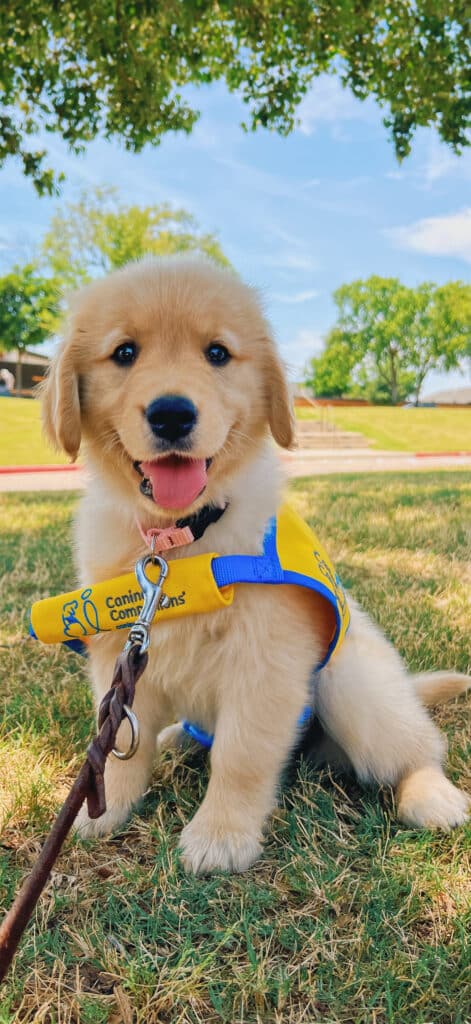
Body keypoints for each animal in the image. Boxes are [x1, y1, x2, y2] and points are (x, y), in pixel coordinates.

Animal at [42, 256, 468, 872]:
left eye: (218, 353)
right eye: (124, 352)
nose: (172, 414)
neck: (179, 542)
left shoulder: (267, 657)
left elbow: (241, 755)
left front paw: (221, 836)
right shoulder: (117, 654)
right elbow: (120, 743)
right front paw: (107, 810)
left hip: (353, 685)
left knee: (417, 747)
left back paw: (432, 795)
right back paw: (175, 737)